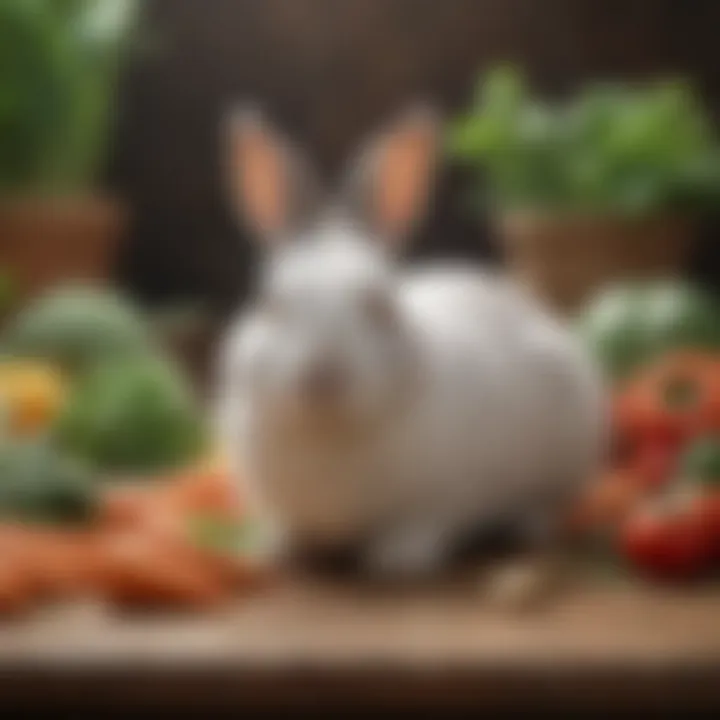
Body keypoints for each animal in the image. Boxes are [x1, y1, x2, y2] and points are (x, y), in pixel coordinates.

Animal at [215, 104, 608, 588]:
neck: (327, 434)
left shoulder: (445, 501)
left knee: (552, 504)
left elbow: (425, 527)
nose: (323, 375)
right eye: (268, 302)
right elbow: (286, 528)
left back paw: (528, 526)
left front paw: (395, 560)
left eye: (381, 305)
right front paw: (273, 550)